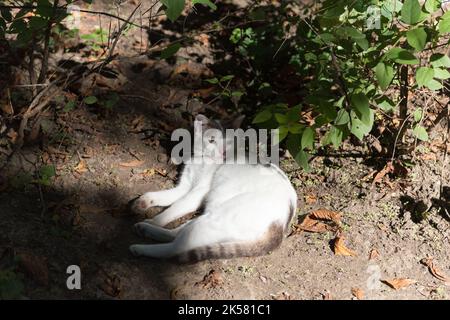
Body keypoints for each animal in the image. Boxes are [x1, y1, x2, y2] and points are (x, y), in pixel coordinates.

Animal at [129, 115, 298, 262]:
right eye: (211, 140)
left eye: (229, 141)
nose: (223, 152)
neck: (202, 160)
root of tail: (282, 227)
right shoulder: (184, 187)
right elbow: (163, 197)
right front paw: (144, 202)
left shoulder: (196, 194)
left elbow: (174, 208)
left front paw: (155, 220)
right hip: (208, 217)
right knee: (178, 233)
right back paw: (145, 229)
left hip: (216, 219)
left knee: (176, 247)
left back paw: (141, 247)